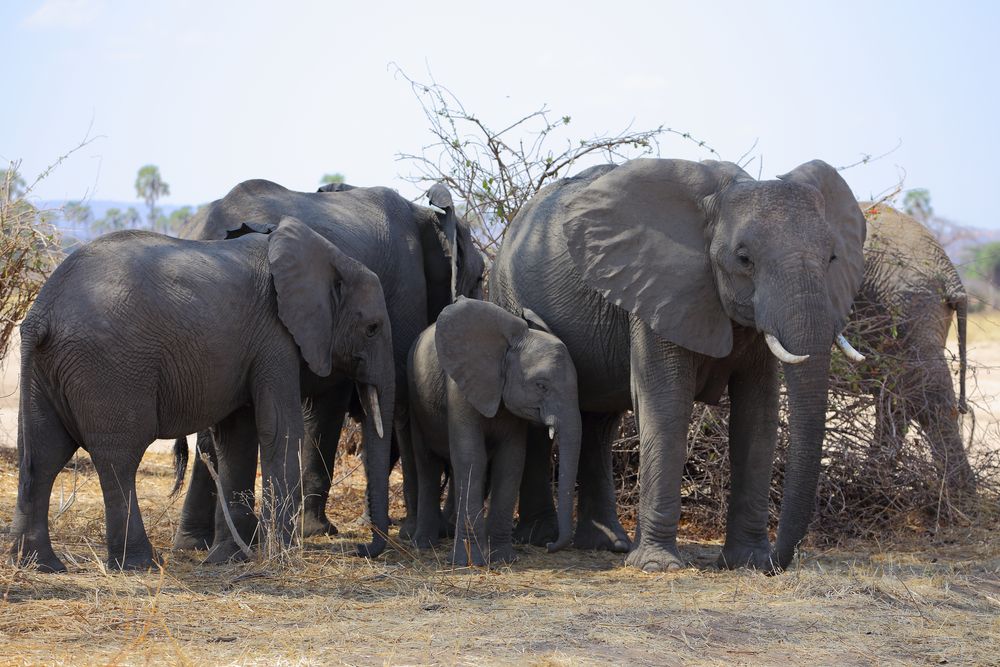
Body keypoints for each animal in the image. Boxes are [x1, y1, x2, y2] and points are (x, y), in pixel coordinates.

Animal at [12, 219, 394, 576]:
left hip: (47, 371)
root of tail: (41, 314)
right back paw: (140, 564)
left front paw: (228, 558)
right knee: (118, 458)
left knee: (43, 455)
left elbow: (237, 438)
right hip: (109, 367)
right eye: (372, 328)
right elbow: (279, 429)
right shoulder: (276, 335)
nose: (360, 549)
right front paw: (281, 557)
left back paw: (40, 565)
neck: (330, 257)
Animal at [173, 179, 484, 560]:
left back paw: (194, 544)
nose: (361, 548)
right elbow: (386, 403)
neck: (423, 214)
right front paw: (321, 530)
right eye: (480, 277)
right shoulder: (405, 286)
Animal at [408, 300, 584, 568]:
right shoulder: (460, 387)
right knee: (427, 464)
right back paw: (424, 544)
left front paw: (502, 559)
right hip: (415, 402)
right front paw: (468, 562)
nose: (549, 546)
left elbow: (511, 461)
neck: (506, 347)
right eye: (541, 386)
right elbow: (471, 457)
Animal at [492, 159, 868, 572]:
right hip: (508, 294)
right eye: (744, 259)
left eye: (832, 258)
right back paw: (542, 538)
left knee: (599, 423)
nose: (776, 562)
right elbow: (667, 405)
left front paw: (747, 563)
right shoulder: (655, 290)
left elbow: (758, 417)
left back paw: (608, 544)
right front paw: (658, 566)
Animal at [848, 204, 972, 496]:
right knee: (896, 398)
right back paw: (868, 489)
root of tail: (949, 273)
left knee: (924, 395)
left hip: (905, 306)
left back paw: (958, 497)